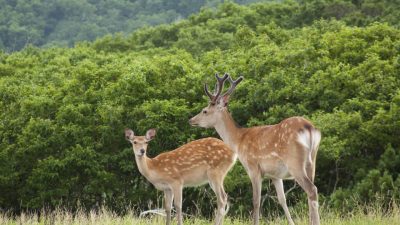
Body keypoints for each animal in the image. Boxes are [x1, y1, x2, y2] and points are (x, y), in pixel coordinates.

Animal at [188, 74, 322, 225]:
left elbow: (256, 201)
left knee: (312, 190)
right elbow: (282, 200)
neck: (239, 141)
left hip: (294, 162)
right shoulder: (275, 175)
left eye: (204, 110)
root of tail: (309, 128)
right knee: (311, 193)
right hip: (312, 161)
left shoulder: (253, 167)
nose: (191, 120)